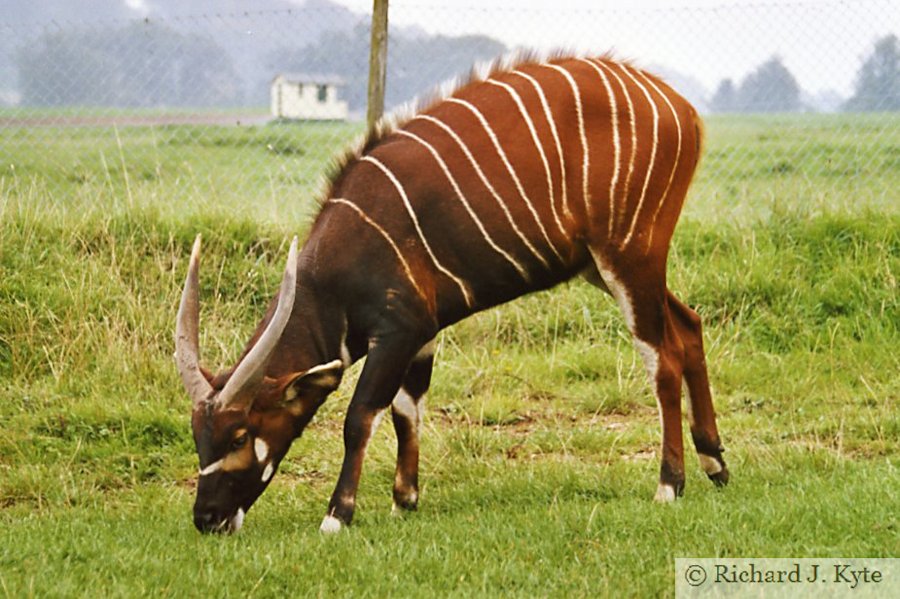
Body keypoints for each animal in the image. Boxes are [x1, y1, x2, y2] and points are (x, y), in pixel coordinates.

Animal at [178, 54, 732, 536]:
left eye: (240, 434)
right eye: (197, 434)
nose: (207, 519)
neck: (338, 266)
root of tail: (682, 107)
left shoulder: (396, 331)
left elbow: (361, 417)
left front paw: (338, 515)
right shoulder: (422, 333)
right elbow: (406, 409)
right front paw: (404, 500)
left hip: (629, 257)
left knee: (661, 356)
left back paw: (669, 484)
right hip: (603, 266)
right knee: (689, 325)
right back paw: (715, 463)